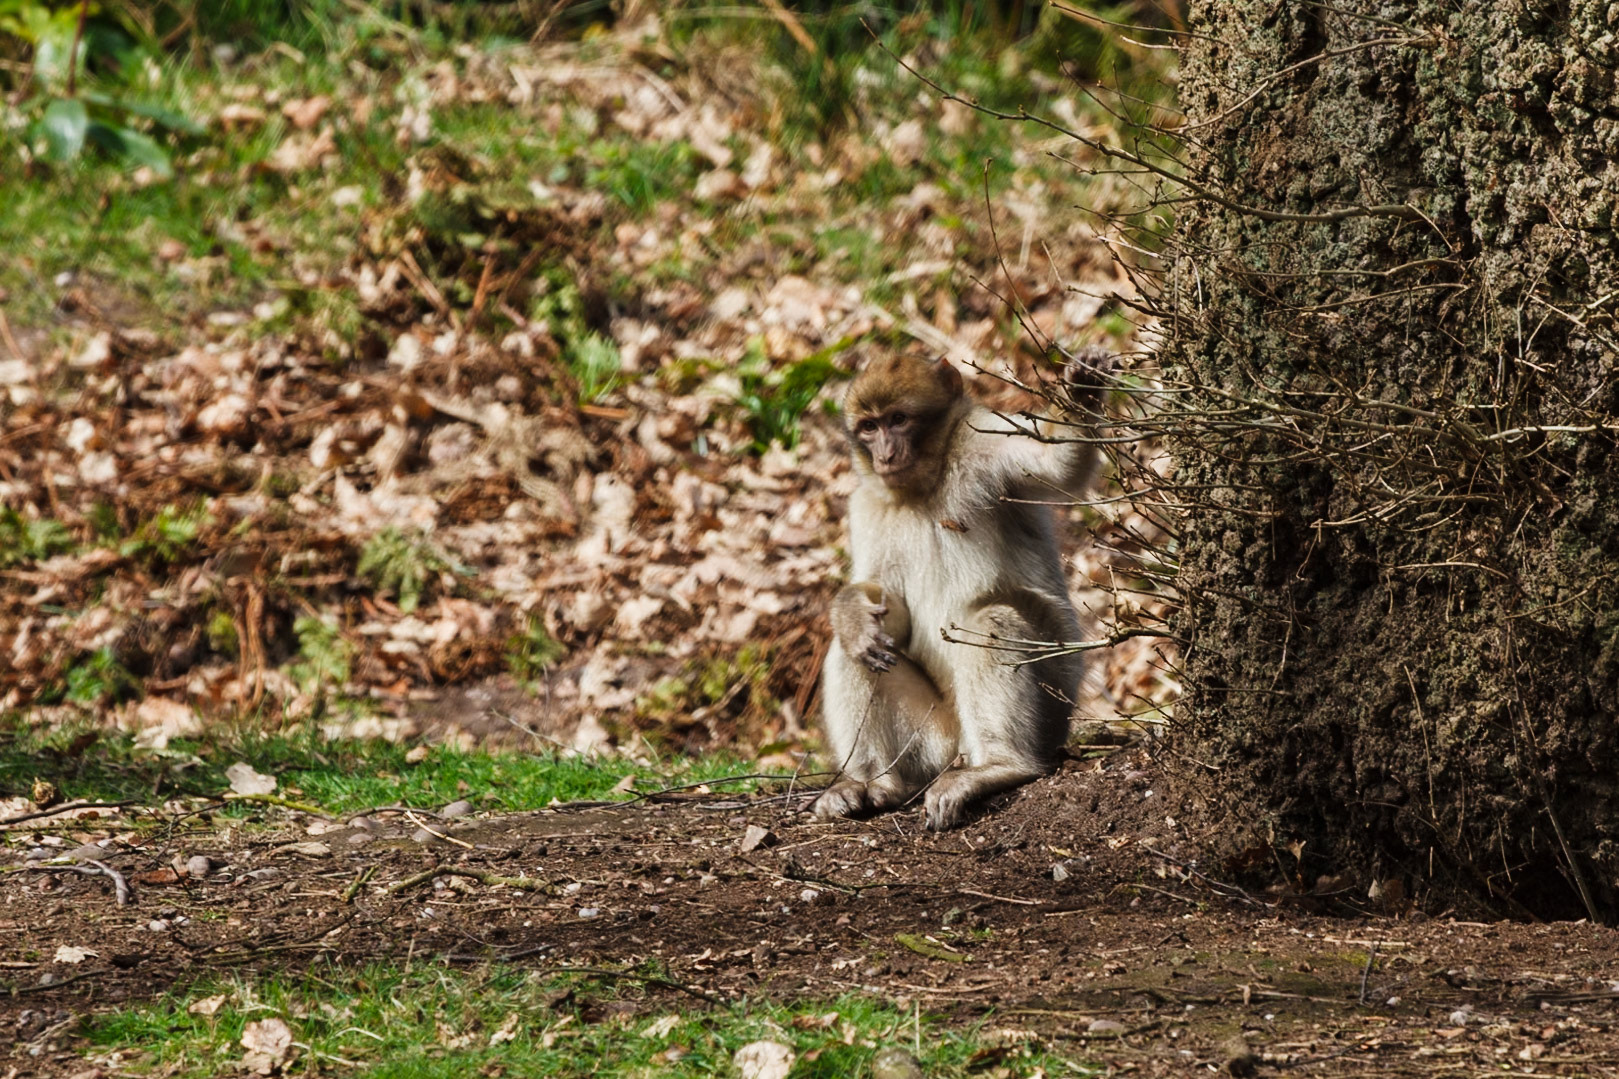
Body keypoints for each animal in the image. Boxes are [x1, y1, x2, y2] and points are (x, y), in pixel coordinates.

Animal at [814, 346, 1114, 831]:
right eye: (869, 427)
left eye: (898, 419)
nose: (885, 454)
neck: (925, 484)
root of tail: (958, 749)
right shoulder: (865, 503)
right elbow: (884, 608)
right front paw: (851, 611)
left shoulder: (985, 442)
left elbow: (1058, 465)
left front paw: (1082, 393)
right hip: (930, 737)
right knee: (853, 650)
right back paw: (872, 782)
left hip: (1054, 700)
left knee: (992, 618)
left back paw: (1000, 766)